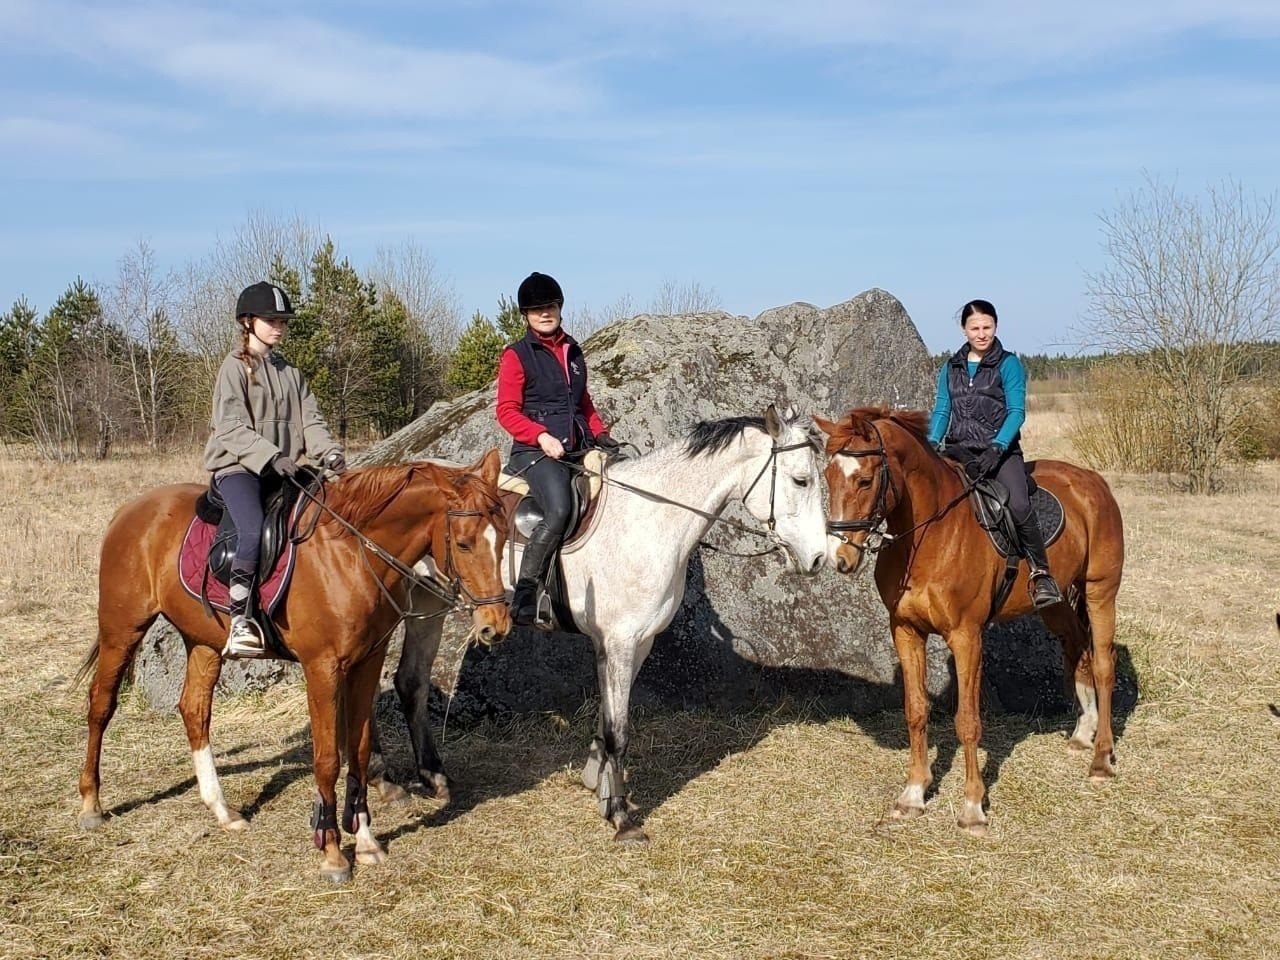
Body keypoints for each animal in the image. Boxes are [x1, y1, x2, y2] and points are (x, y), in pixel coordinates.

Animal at [74, 450, 509, 880]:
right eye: (464, 544)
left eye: (504, 538)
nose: (496, 625)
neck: (352, 554)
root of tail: (130, 510)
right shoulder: (322, 668)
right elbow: (328, 759)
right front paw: (332, 852)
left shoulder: (367, 662)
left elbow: (359, 750)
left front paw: (366, 842)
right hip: (122, 629)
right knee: (101, 704)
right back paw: (91, 804)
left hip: (203, 641)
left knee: (194, 710)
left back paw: (222, 810)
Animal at [376, 404, 829, 839]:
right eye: (801, 480)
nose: (818, 558)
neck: (649, 521)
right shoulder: (621, 640)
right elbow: (618, 729)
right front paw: (621, 817)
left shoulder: (635, 642)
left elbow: (606, 717)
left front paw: (599, 786)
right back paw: (385, 783)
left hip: (429, 601)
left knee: (411, 682)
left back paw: (434, 778)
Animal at [814, 409, 1126, 839]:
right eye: (827, 477)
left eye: (864, 479)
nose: (840, 559)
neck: (930, 535)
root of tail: (1092, 481)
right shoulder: (906, 632)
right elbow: (916, 710)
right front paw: (913, 794)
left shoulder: (966, 637)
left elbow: (967, 721)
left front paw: (973, 807)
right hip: (1056, 602)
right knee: (1076, 647)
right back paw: (1083, 733)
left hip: (1100, 592)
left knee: (1104, 665)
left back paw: (1101, 759)